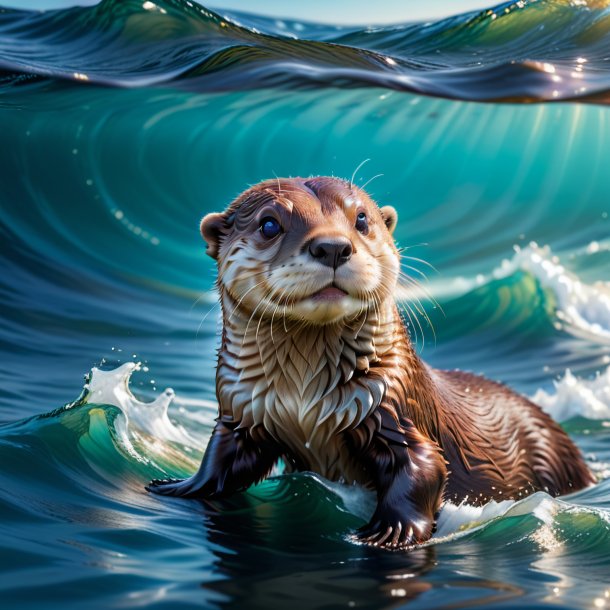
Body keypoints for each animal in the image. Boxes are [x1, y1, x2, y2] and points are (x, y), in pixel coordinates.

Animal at [147, 175, 592, 548]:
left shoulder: (393, 405)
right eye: (269, 224)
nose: (332, 246)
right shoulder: (243, 408)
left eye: (361, 219)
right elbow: (221, 458)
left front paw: (390, 533)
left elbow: (424, 468)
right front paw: (180, 487)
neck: (302, 399)